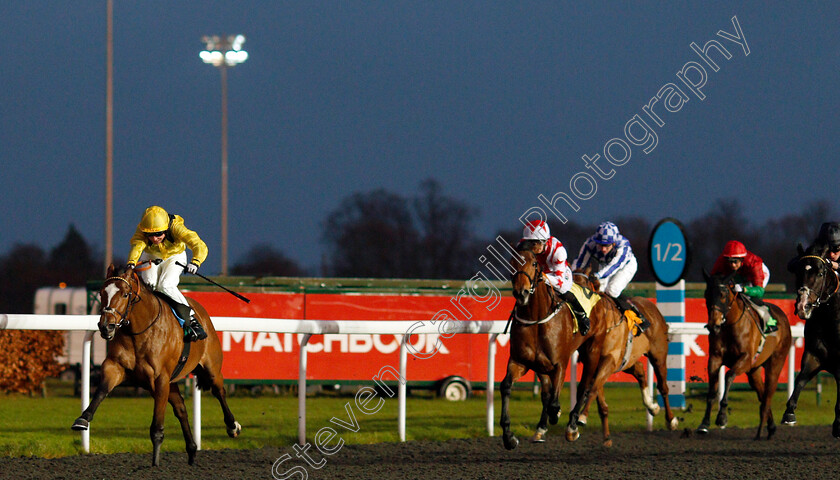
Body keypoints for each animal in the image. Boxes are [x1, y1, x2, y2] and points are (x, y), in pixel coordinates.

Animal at [69, 264, 241, 466]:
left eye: (125, 294)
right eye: (103, 293)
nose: (106, 327)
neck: (138, 330)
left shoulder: (160, 379)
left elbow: (157, 427)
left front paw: (155, 464)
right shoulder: (116, 367)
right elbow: (101, 391)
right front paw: (83, 419)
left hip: (211, 368)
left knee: (219, 391)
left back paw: (232, 426)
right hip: (171, 381)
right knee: (181, 408)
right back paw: (192, 450)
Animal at [498, 248, 604, 450]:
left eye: (533, 264)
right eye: (511, 263)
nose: (521, 293)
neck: (536, 318)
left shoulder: (560, 363)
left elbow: (555, 402)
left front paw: (558, 415)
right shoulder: (520, 361)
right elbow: (506, 386)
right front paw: (509, 436)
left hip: (592, 352)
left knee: (584, 386)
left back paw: (572, 426)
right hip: (542, 366)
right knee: (547, 393)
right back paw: (541, 429)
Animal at [568, 266, 680, 446]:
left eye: (585, 288)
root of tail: (652, 306)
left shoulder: (609, 360)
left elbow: (592, 389)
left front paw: (583, 417)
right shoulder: (595, 363)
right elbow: (597, 396)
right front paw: (606, 437)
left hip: (658, 355)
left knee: (663, 387)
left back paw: (671, 420)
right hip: (627, 361)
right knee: (640, 369)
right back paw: (652, 406)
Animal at [700, 270, 792, 438]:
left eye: (723, 294)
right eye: (706, 294)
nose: (713, 325)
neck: (729, 326)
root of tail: (783, 316)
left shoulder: (745, 359)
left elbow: (729, 376)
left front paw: (722, 417)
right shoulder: (715, 358)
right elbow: (711, 391)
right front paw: (704, 424)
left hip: (775, 363)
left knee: (768, 394)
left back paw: (764, 429)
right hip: (753, 371)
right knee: (762, 394)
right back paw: (771, 427)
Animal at [780, 246, 840, 436]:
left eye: (820, 273)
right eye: (798, 271)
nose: (803, 306)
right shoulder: (815, 354)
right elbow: (800, 380)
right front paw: (789, 414)